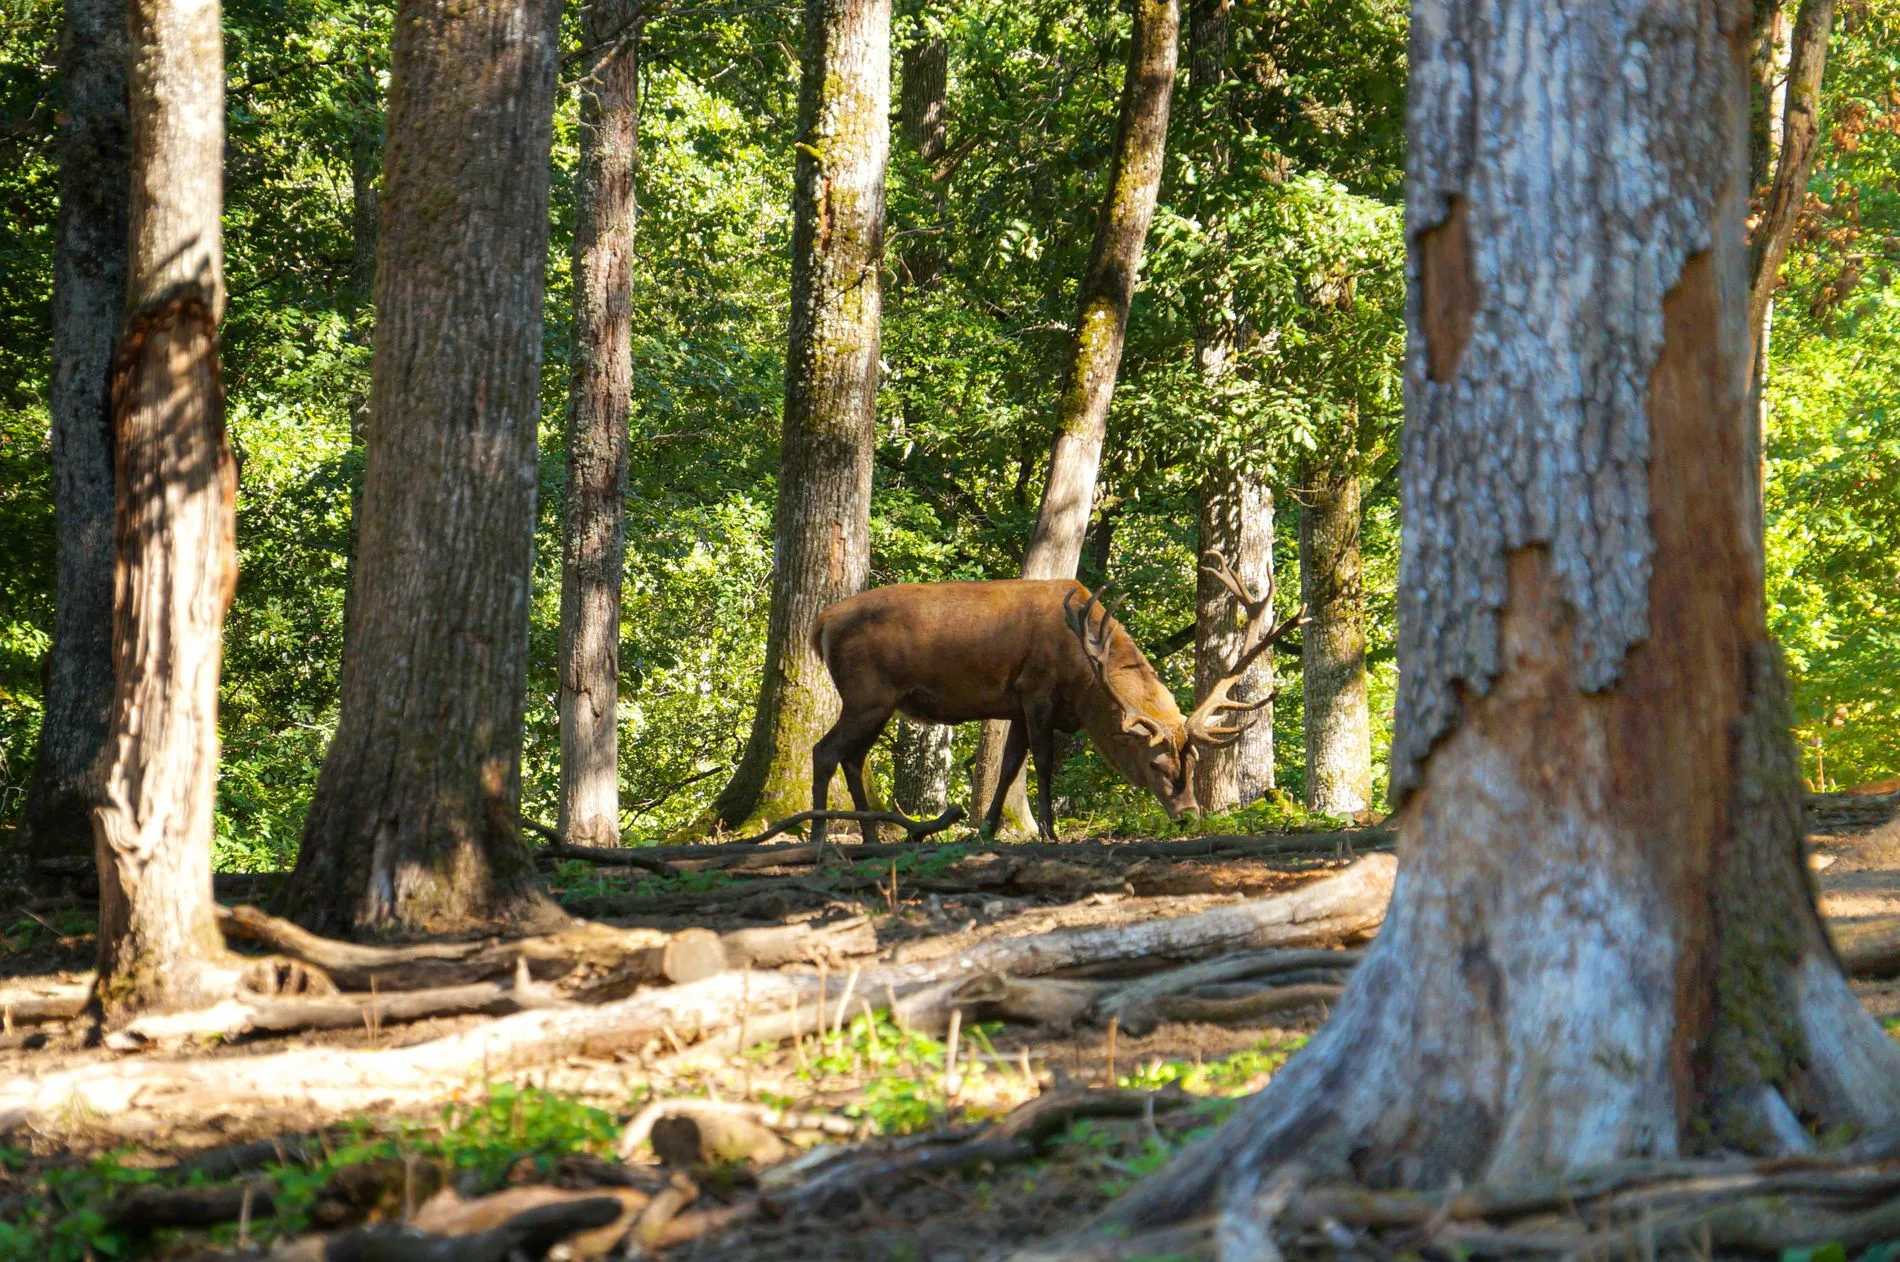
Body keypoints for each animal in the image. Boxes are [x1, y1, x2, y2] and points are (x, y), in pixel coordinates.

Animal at [809, 554, 1299, 843]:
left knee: (852, 757)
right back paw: (818, 838)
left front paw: (987, 830)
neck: (1082, 680)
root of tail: (822, 622)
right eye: (1157, 764)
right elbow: (1042, 763)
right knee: (825, 750)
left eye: (1194, 763)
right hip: (867, 693)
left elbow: (1010, 765)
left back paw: (870, 838)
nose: (1188, 816)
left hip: (881, 703)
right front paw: (1049, 832)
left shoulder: (1017, 703)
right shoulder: (1037, 691)